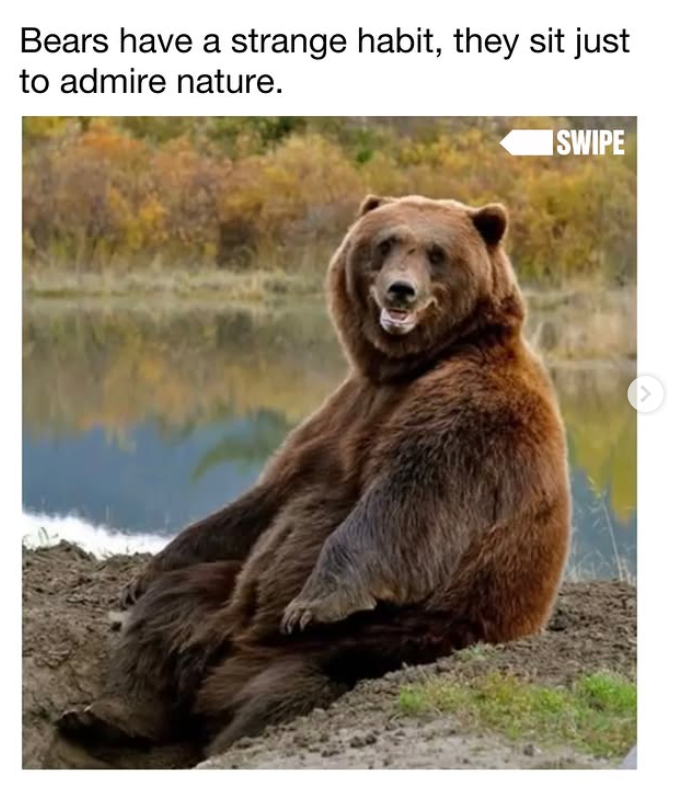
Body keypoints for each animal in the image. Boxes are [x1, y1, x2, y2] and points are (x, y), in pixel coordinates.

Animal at [57, 194, 571, 760]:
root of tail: (233, 651)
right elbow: (270, 497)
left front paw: (315, 602)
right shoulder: (343, 414)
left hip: (394, 636)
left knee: (290, 688)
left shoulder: (468, 414)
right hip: (224, 596)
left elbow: (409, 500)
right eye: (386, 242)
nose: (401, 290)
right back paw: (105, 716)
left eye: (437, 253)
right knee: (169, 611)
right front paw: (141, 575)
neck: (405, 369)